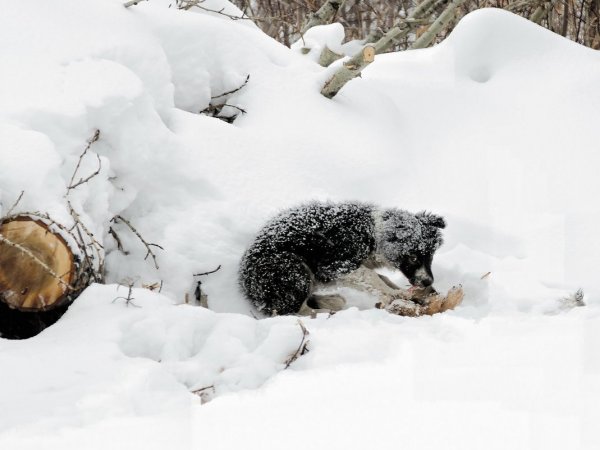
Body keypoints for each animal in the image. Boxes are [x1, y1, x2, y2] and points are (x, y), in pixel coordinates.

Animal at [239, 202, 446, 314]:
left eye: (431, 256)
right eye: (413, 257)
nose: (428, 282)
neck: (373, 233)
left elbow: (381, 278)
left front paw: (397, 290)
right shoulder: (336, 265)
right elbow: (372, 276)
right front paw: (397, 294)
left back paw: (330, 300)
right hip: (291, 267)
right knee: (293, 311)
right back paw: (326, 312)